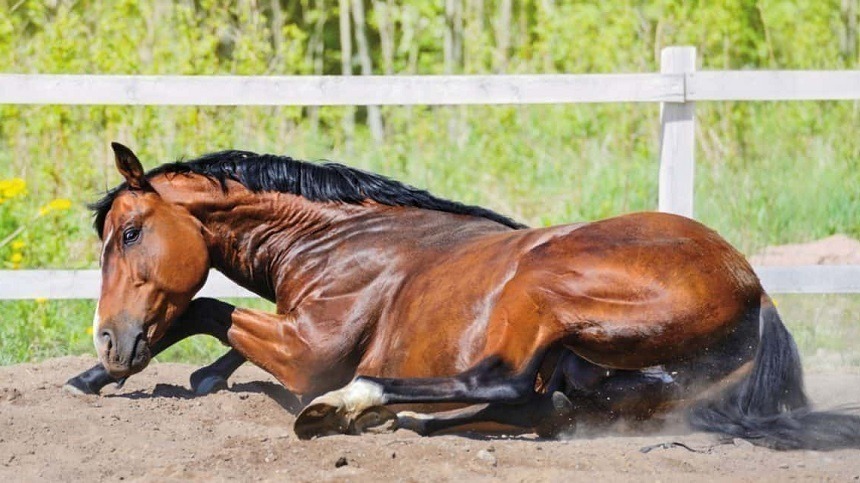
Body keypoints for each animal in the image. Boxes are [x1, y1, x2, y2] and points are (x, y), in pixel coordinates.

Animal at [70, 143, 860, 450]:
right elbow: (207, 319)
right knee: (540, 403)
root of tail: (754, 291)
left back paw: (353, 408)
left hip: (545, 287)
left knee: (503, 381)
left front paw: (114, 371)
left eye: (131, 232)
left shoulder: (307, 353)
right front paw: (99, 373)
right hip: (595, 370)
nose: (108, 336)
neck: (336, 242)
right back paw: (413, 419)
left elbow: (208, 309)